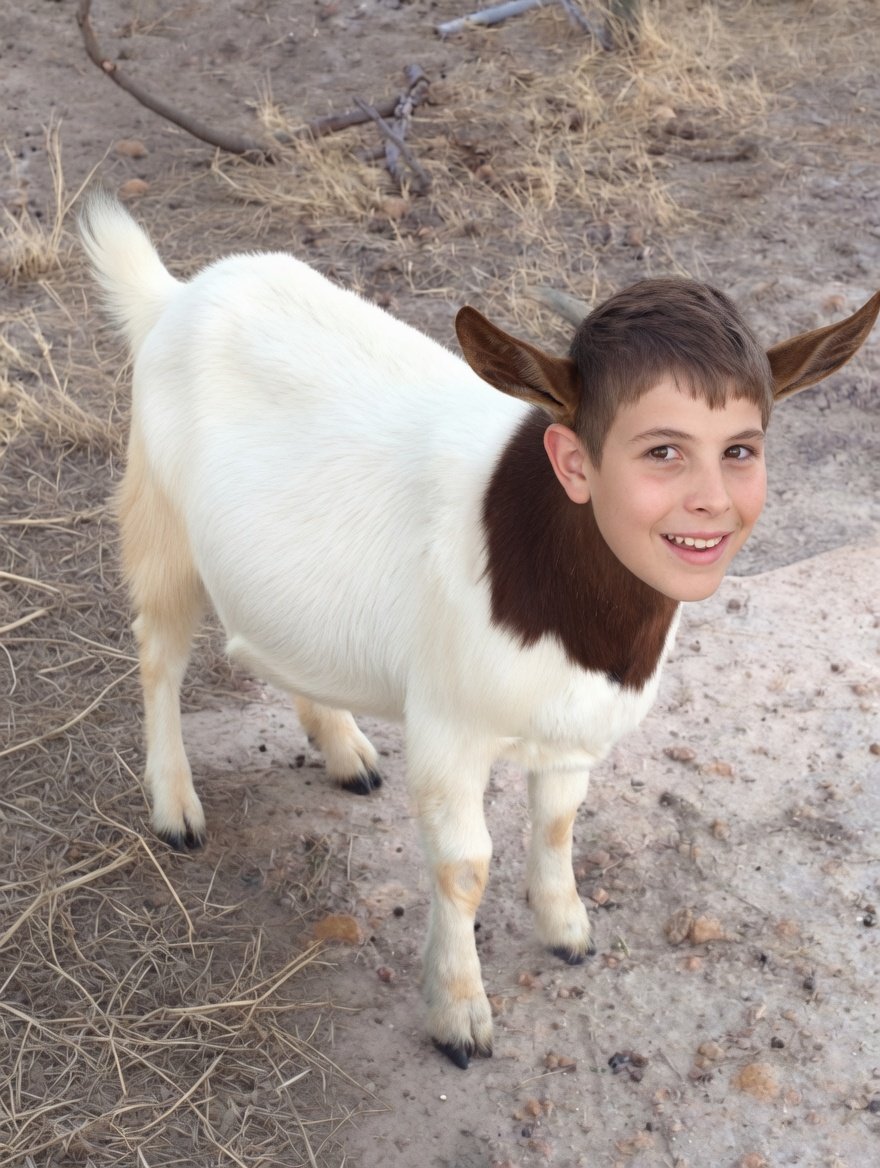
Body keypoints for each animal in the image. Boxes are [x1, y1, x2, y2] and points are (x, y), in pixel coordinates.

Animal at [80, 191, 879, 1067]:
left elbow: (558, 822)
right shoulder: (448, 728)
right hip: (160, 522)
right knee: (158, 653)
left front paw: (565, 930)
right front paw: (458, 1011)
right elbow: (465, 867)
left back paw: (343, 750)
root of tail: (175, 296)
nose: (705, 514)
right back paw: (175, 805)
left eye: (743, 444)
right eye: (661, 448)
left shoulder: (571, 728)